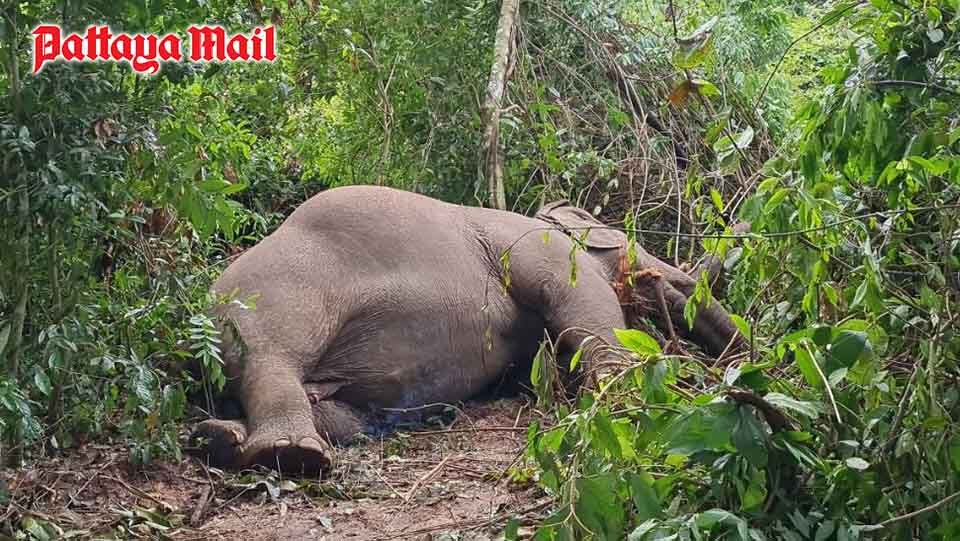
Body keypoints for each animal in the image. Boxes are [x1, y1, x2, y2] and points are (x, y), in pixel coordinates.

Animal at [191, 185, 741, 474]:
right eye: (639, 252)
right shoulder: (536, 245)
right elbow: (578, 298)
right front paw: (624, 395)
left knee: (339, 412)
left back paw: (222, 439)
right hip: (270, 298)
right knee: (273, 358)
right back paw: (292, 456)